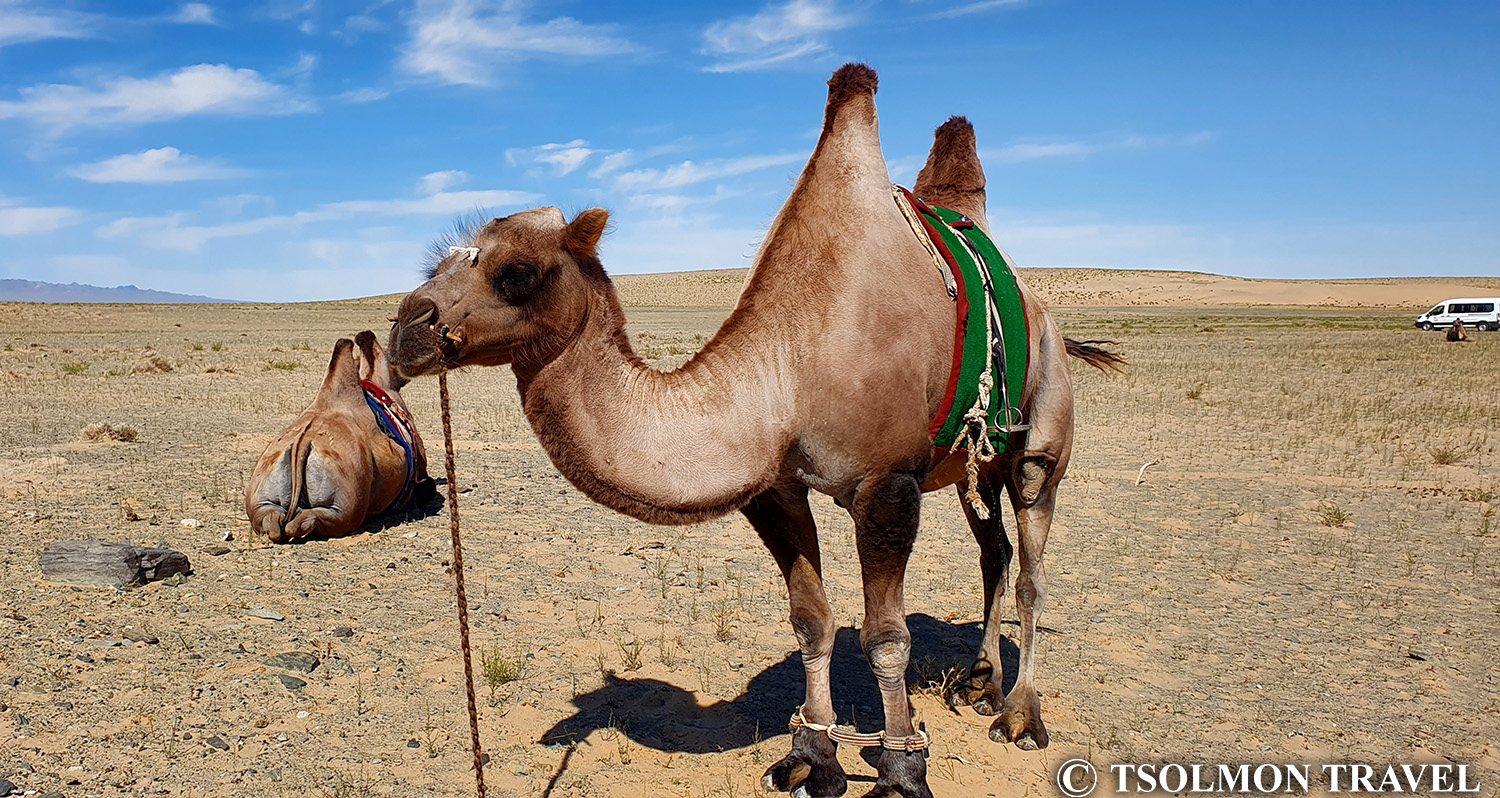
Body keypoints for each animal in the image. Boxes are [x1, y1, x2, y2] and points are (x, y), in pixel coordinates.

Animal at [393, 63, 1122, 798]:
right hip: (978, 466)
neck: (787, 372)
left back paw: (1020, 715)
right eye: (438, 265)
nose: (405, 331)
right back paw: (978, 682)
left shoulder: (887, 484)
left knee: (1031, 569)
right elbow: (811, 622)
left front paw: (900, 768)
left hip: (1041, 444)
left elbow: (886, 638)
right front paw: (813, 757)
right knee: (993, 552)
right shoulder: (776, 489)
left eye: (516, 272)